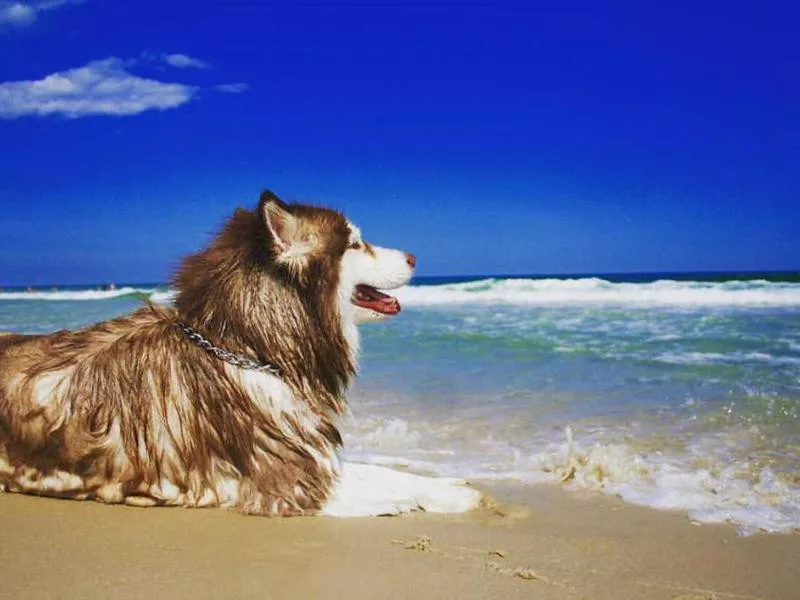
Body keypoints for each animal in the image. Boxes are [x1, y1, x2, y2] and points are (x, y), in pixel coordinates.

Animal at [0, 191, 482, 516]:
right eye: (355, 244)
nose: (415, 256)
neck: (245, 347)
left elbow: (389, 473)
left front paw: (451, 484)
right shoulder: (291, 485)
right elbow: (379, 483)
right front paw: (452, 496)